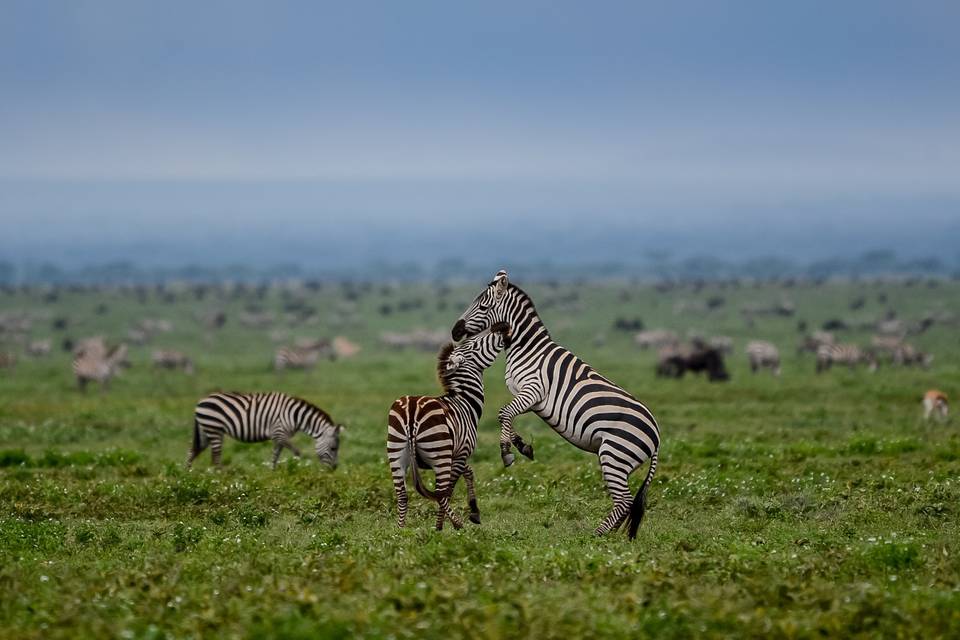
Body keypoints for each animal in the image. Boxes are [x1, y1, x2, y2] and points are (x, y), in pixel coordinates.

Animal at [186, 390, 344, 470]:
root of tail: (201, 401)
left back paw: (187, 475)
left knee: (193, 451)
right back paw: (219, 477)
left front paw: (272, 472)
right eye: (333, 448)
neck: (295, 416)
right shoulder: (279, 433)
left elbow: (275, 455)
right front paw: (299, 466)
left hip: (206, 430)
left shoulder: (279, 437)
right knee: (216, 456)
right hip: (214, 428)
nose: (334, 468)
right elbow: (296, 452)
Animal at [388, 324, 512, 528]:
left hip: (396, 451)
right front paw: (447, 523)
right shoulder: (461, 453)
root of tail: (412, 411)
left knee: (402, 495)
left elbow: (469, 473)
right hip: (439, 454)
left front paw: (474, 511)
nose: (501, 327)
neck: (465, 402)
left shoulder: (458, 453)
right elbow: (451, 488)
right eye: (475, 343)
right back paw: (452, 525)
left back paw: (400, 530)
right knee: (440, 493)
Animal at [450, 272, 660, 540]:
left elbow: (504, 413)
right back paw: (606, 533)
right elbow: (506, 416)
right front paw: (522, 446)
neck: (527, 348)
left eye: (483, 307)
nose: (455, 331)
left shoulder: (533, 390)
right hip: (620, 459)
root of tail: (657, 436)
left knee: (623, 500)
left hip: (615, 454)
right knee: (624, 502)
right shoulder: (528, 398)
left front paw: (507, 451)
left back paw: (596, 535)